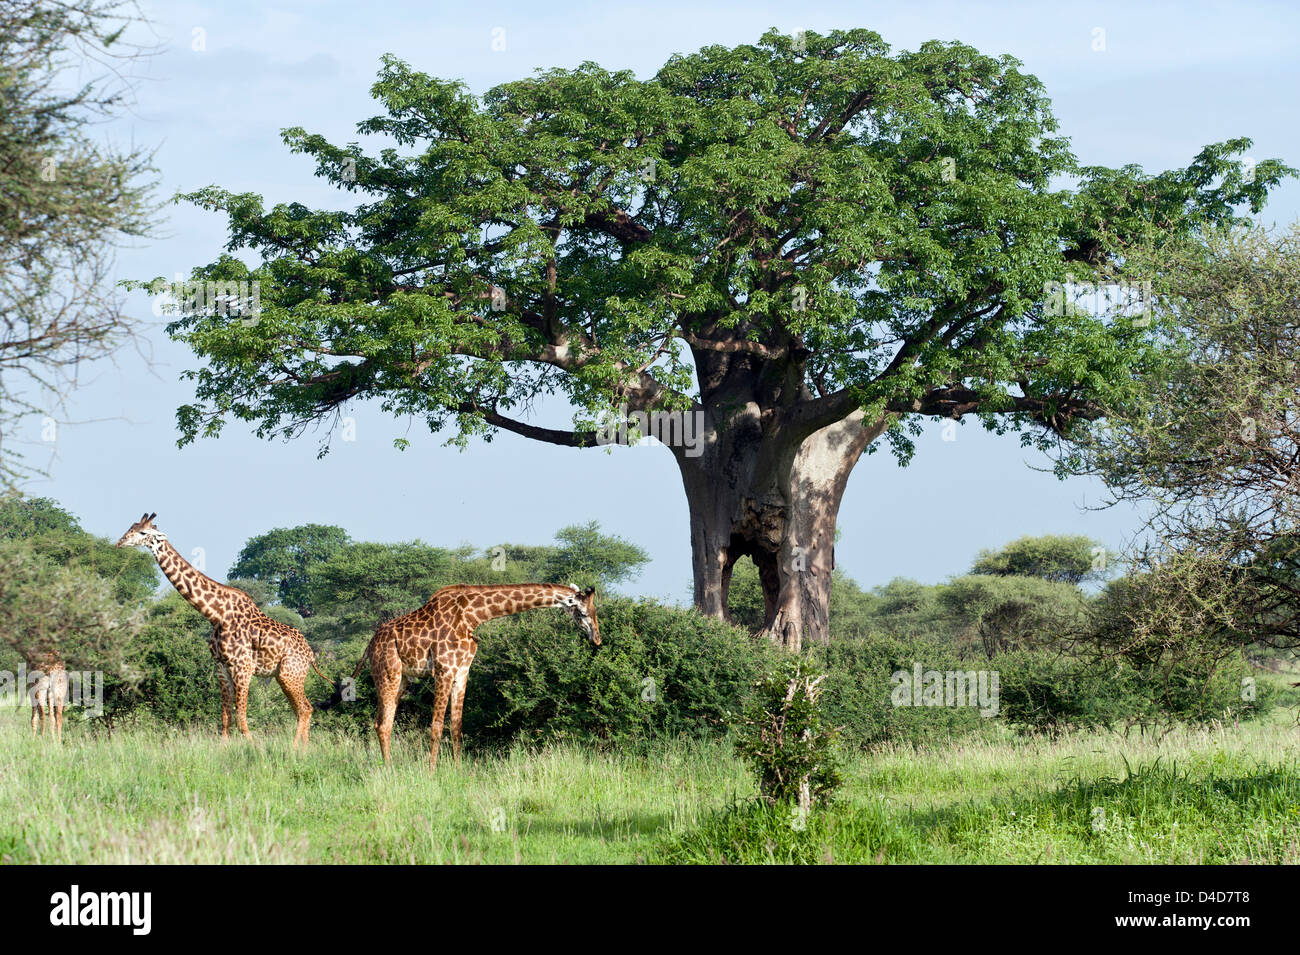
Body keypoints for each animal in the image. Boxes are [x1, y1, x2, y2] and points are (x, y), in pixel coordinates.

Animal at [115, 513, 331, 747]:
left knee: (305, 709)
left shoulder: (242, 667)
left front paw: (254, 748)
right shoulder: (221, 667)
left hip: (290, 674)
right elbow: (225, 717)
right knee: (303, 709)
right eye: (130, 528)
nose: (119, 543)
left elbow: (241, 717)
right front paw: (224, 748)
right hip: (284, 676)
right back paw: (304, 749)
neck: (216, 615)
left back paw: (294, 749)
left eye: (143, 532)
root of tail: (310, 654)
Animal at [322, 583, 600, 767]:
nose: (596, 639)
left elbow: (456, 725)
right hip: (387, 672)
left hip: (402, 679)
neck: (473, 615)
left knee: (384, 723)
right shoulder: (443, 669)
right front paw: (431, 772)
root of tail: (369, 644)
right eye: (583, 612)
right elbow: (436, 725)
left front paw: (458, 770)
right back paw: (389, 770)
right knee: (382, 724)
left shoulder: (463, 671)